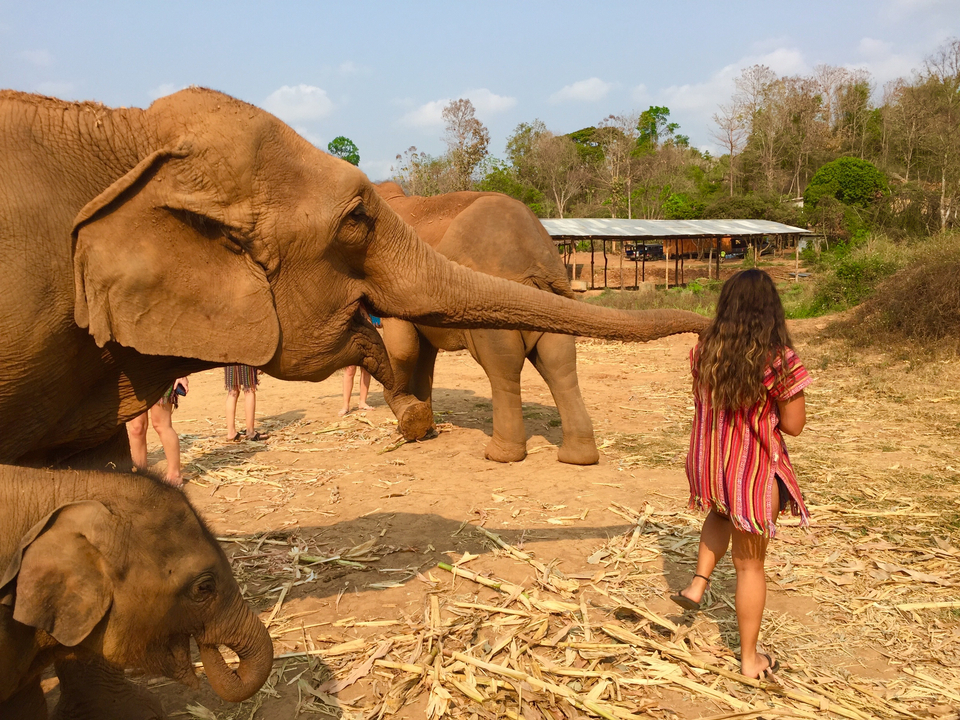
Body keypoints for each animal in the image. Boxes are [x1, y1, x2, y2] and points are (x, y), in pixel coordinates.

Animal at [374, 182, 606, 464]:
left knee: (503, 366)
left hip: (493, 314)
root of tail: (535, 262)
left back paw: (499, 455)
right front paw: (424, 428)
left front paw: (408, 425)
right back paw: (578, 457)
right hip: (556, 302)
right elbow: (424, 352)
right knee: (560, 362)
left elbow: (403, 347)